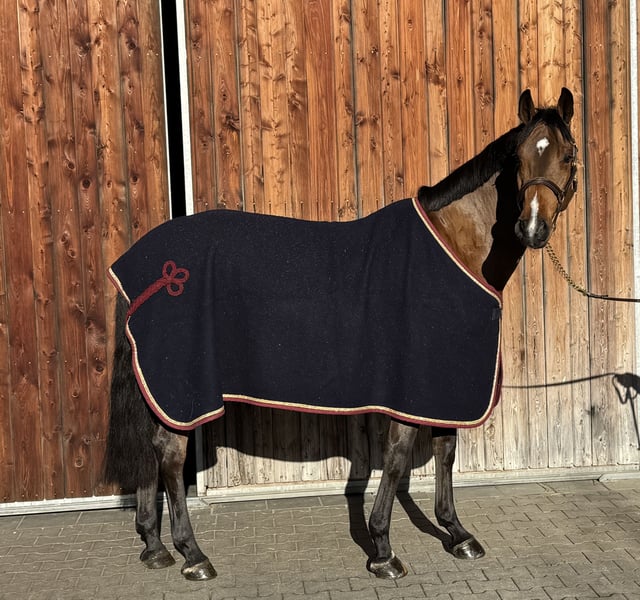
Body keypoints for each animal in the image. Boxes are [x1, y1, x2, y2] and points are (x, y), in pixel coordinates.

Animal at [103, 88, 578, 581]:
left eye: (568, 155)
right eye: (518, 157)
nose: (533, 227)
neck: (454, 246)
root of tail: (141, 266)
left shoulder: (445, 385)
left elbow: (445, 450)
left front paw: (457, 534)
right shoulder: (410, 387)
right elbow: (397, 458)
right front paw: (382, 549)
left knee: (151, 452)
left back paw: (155, 545)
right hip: (181, 386)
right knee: (171, 454)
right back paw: (193, 554)